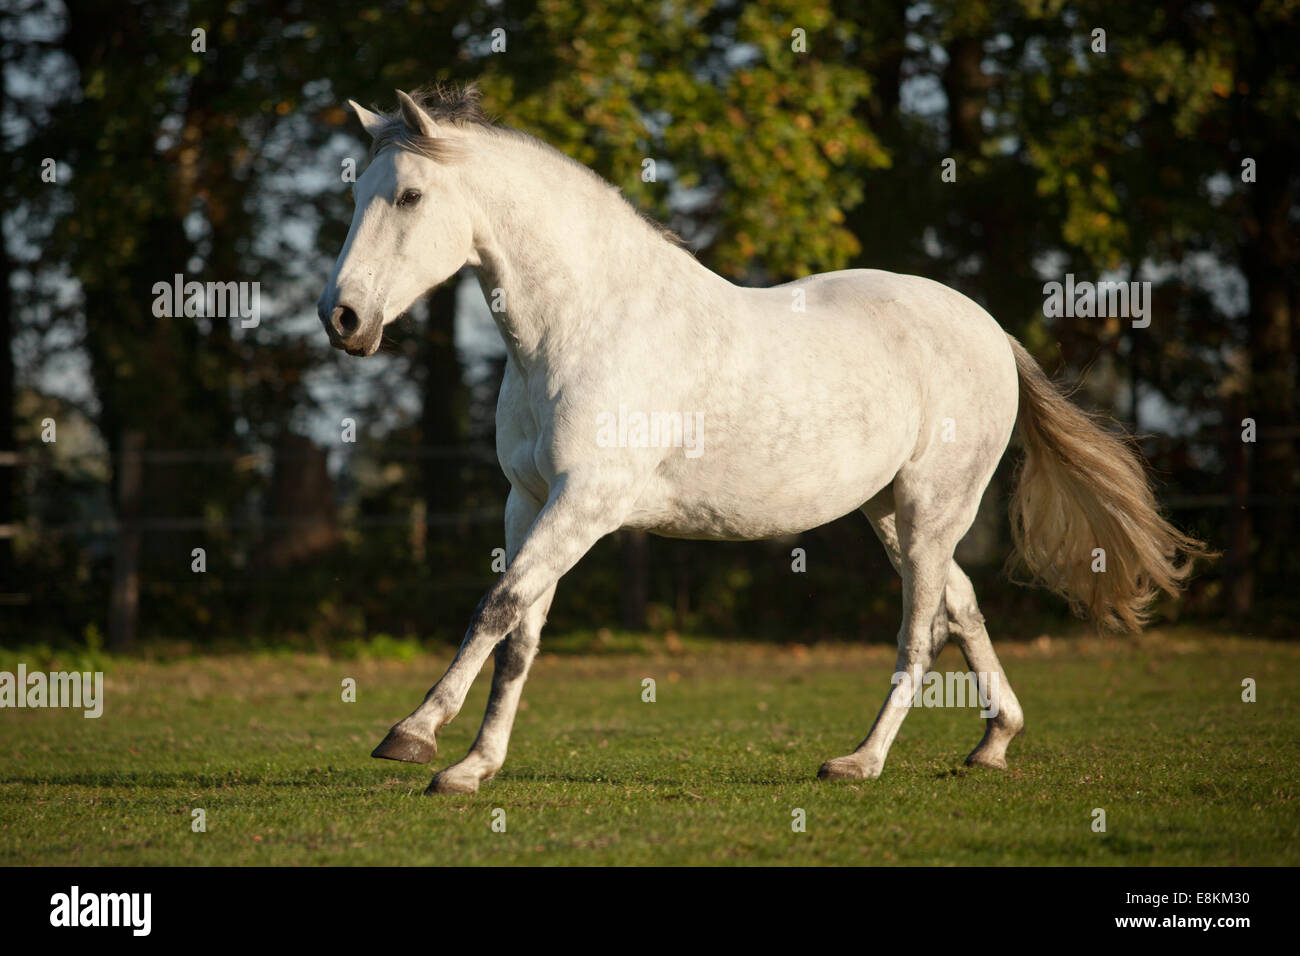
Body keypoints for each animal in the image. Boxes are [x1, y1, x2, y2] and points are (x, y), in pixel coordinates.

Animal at [317, 87, 1206, 790]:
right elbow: (520, 631)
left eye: (409, 196)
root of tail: (989, 331)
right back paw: (993, 743)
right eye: (360, 196)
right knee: (963, 606)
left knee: (920, 631)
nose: (344, 319)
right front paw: (472, 766)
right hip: (892, 513)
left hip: (932, 511)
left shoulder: (587, 503)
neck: (584, 326)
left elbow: (498, 608)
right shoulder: (527, 501)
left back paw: (860, 763)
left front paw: (413, 734)